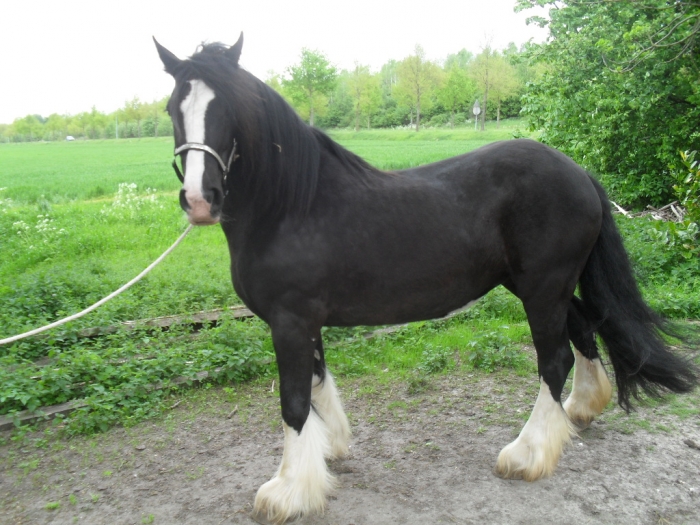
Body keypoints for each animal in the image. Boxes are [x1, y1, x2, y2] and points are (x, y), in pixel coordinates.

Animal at [154, 34, 697, 524]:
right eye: (172, 107)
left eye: (228, 108)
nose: (200, 199)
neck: (291, 207)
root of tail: (579, 172)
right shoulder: (305, 322)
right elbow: (317, 384)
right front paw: (327, 452)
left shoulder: (288, 321)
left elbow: (293, 402)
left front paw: (289, 492)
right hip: (542, 285)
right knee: (584, 328)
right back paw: (581, 409)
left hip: (544, 287)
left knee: (554, 358)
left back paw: (528, 453)